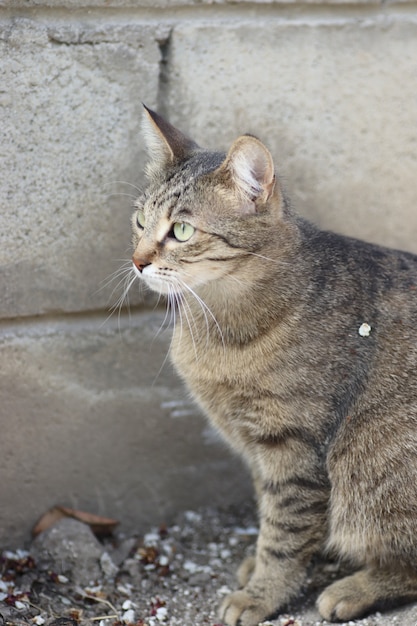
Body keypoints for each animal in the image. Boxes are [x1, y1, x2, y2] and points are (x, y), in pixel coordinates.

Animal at [129, 105, 416, 620]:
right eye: (140, 221)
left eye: (181, 230)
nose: (138, 261)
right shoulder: (257, 447)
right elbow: (274, 515)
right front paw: (263, 567)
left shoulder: (293, 445)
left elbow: (285, 533)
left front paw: (263, 594)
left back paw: (351, 589)